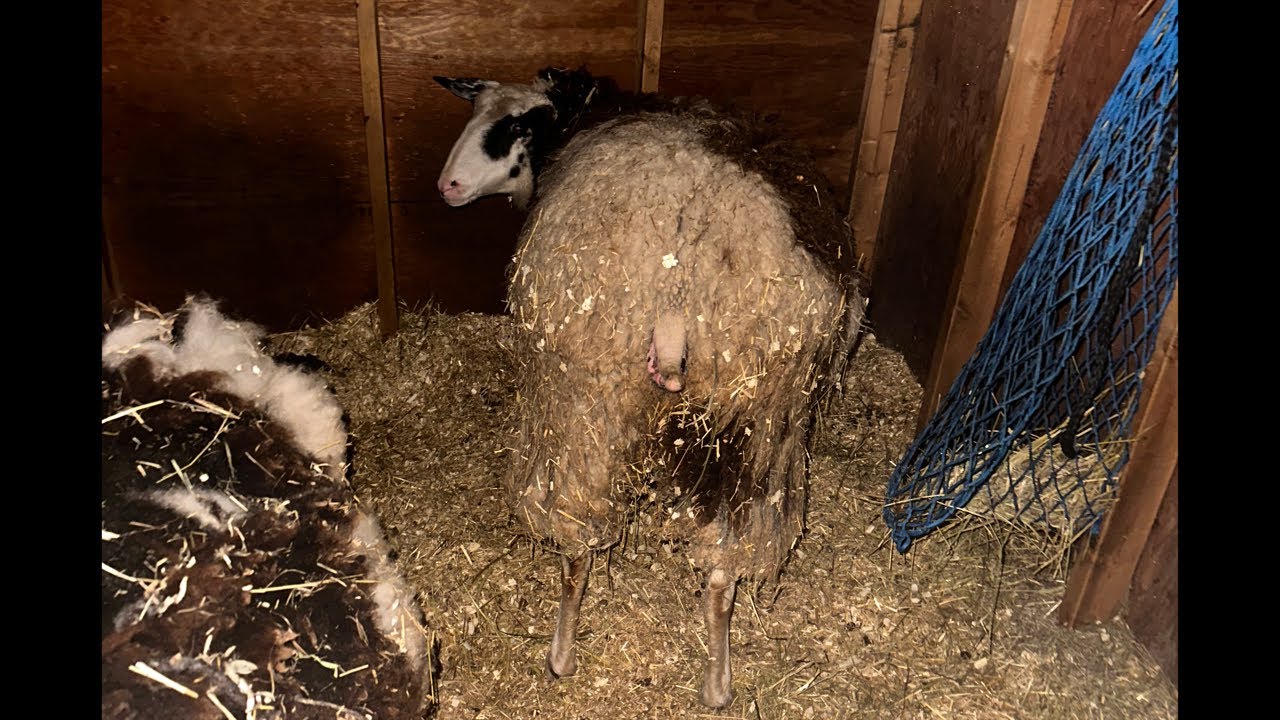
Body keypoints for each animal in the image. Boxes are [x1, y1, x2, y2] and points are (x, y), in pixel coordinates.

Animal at [434, 66, 866, 708]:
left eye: (513, 126)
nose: (449, 186)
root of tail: (678, 262)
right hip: (758, 414)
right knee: (717, 559)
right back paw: (712, 683)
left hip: (578, 392)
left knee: (576, 540)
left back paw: (561, 657)